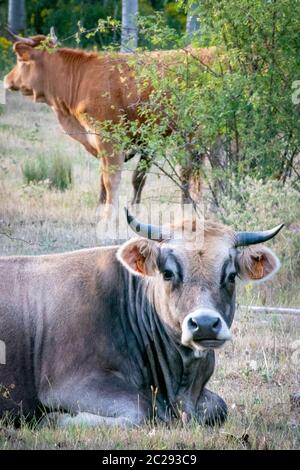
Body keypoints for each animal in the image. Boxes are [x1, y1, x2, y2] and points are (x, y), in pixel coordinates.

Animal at [4, 30, 216, 220]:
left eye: (20, 60)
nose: (6, 79)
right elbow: (112, 179)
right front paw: (102, 210)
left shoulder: (109, 140)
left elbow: (112, 179)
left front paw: (109, 216)